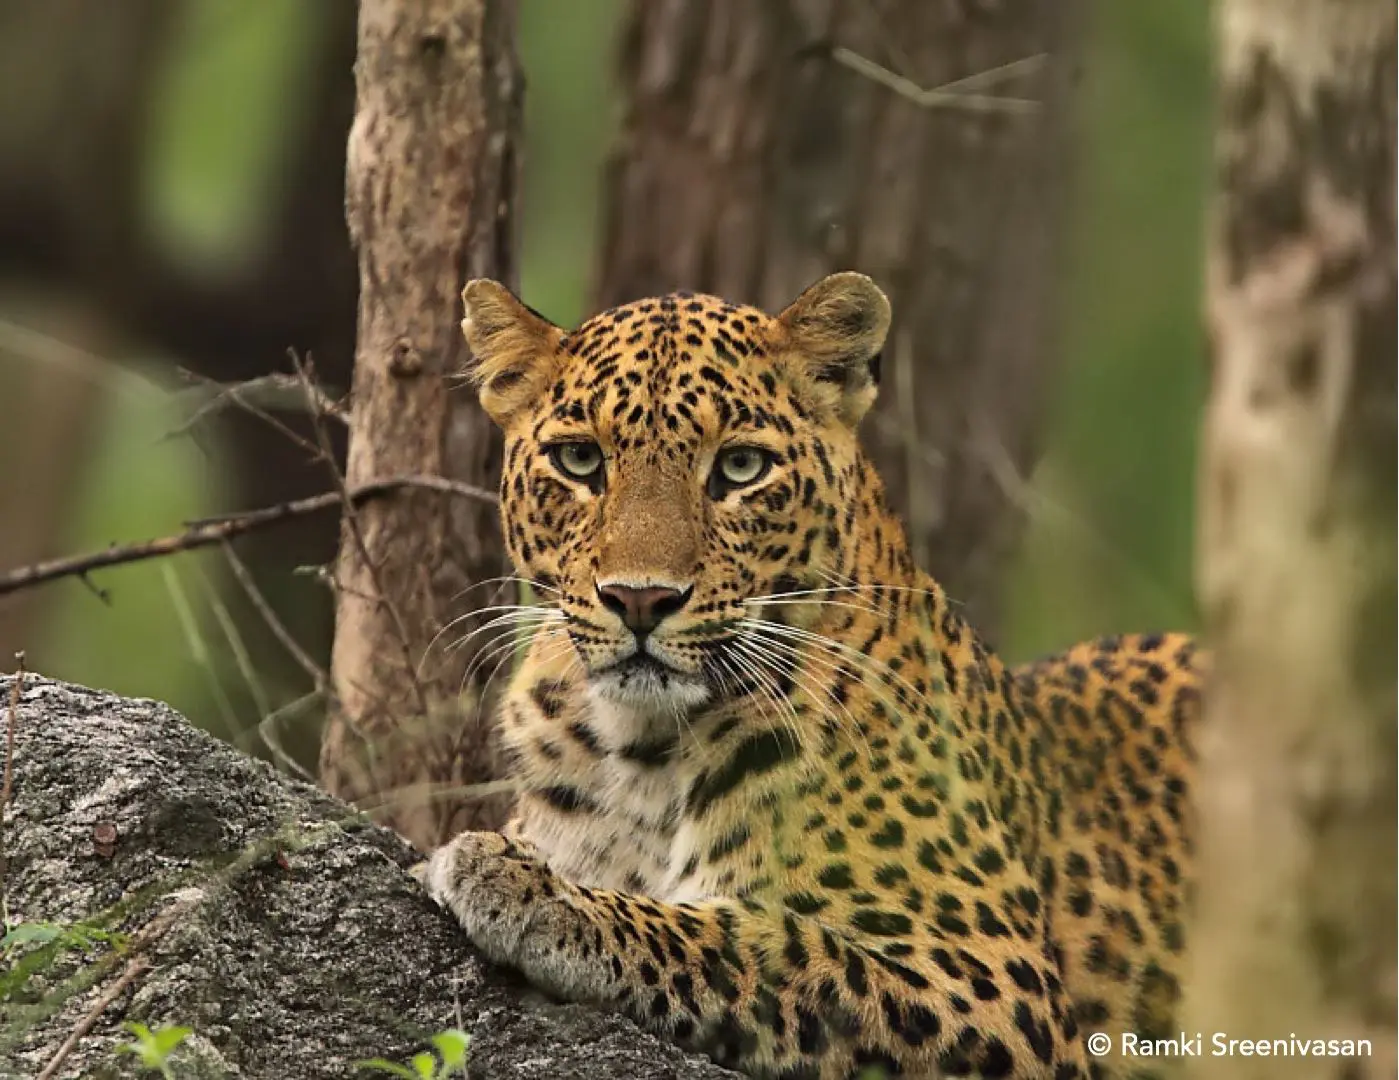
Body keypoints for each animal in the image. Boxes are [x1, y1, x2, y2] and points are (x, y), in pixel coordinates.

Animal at [418, 272, 1203, 1079]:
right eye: (579, 461)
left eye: (740, 467)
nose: (640, 599)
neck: (639, 752)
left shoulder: (997, 985)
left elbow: (759, 941)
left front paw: (534, 892)